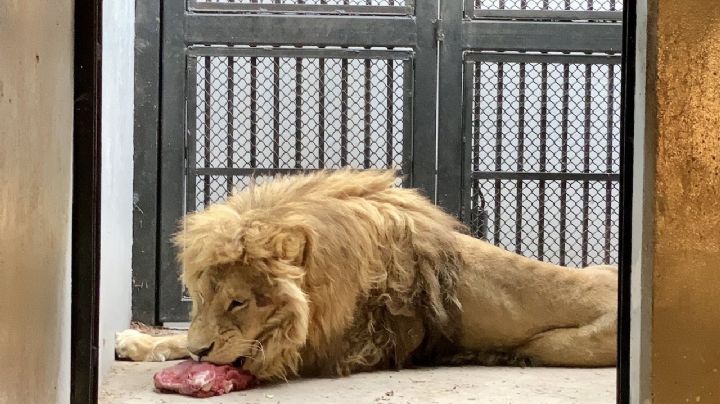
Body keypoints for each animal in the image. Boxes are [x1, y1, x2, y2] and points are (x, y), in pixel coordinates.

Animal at [115, 169, 616, 380]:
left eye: (237, 302)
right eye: (199, 300)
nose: (202, 352)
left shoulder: (339, 349)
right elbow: (176, 339)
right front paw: (136, 342)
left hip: (554, 344)